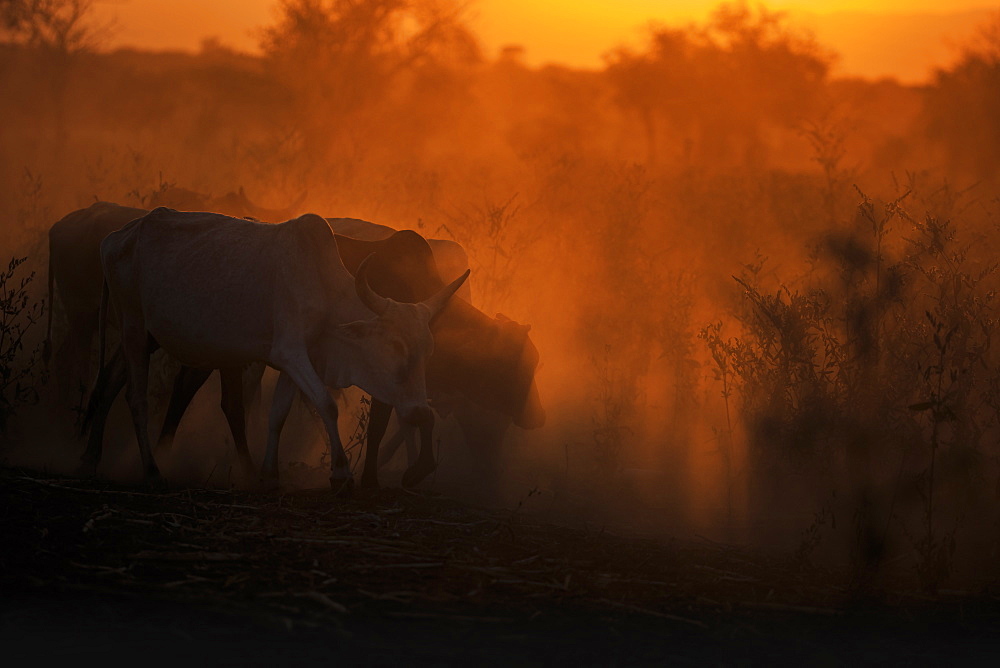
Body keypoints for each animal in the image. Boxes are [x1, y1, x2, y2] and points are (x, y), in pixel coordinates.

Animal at [92, 206, 466, 488]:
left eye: (428, 351)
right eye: (395, 346)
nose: (421, 413)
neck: (323, 286)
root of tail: (116, 236)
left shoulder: (296, 361)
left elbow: (278, 414)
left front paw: (270, 473)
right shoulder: (291, 352)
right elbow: (326, 404)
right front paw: (341, 473)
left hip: (147, 337)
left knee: (107, 385)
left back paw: (89, 460)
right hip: (134, 329)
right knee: (137, 398)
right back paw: (153, 469)